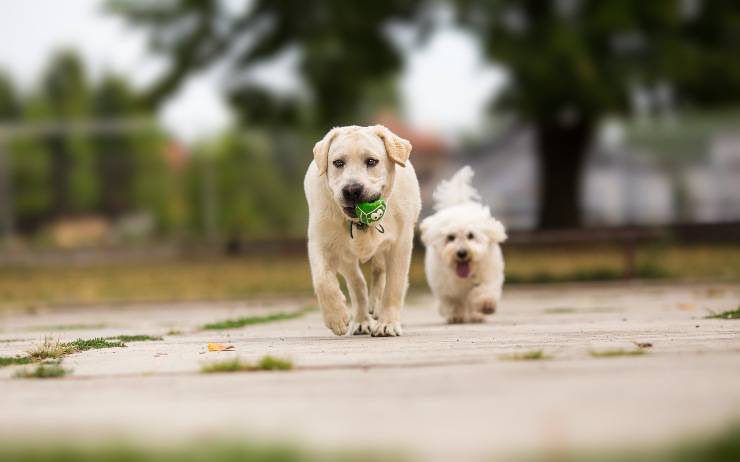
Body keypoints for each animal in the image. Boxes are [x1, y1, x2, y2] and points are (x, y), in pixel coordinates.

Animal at [304, 124, 420, 338]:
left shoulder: (400, 244)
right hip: (346, 256)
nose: (351, 190)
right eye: (338, 163)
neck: (359, 224)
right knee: (357, 282)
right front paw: (336, 317)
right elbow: (323, 280)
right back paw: (360, 321)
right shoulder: (320, 242)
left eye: (371, 161)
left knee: (379, 271)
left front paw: (387, 324)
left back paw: (376, 305)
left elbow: (394, 285)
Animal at [420, 168, 506, 324]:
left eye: (471, 235)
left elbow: (484, 290)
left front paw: (487, 305)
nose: (461, 253)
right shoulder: (444, 287)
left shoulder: (488, 275)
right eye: (450, 237)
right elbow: (452, 301)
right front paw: (455, 315)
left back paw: (477, 315)